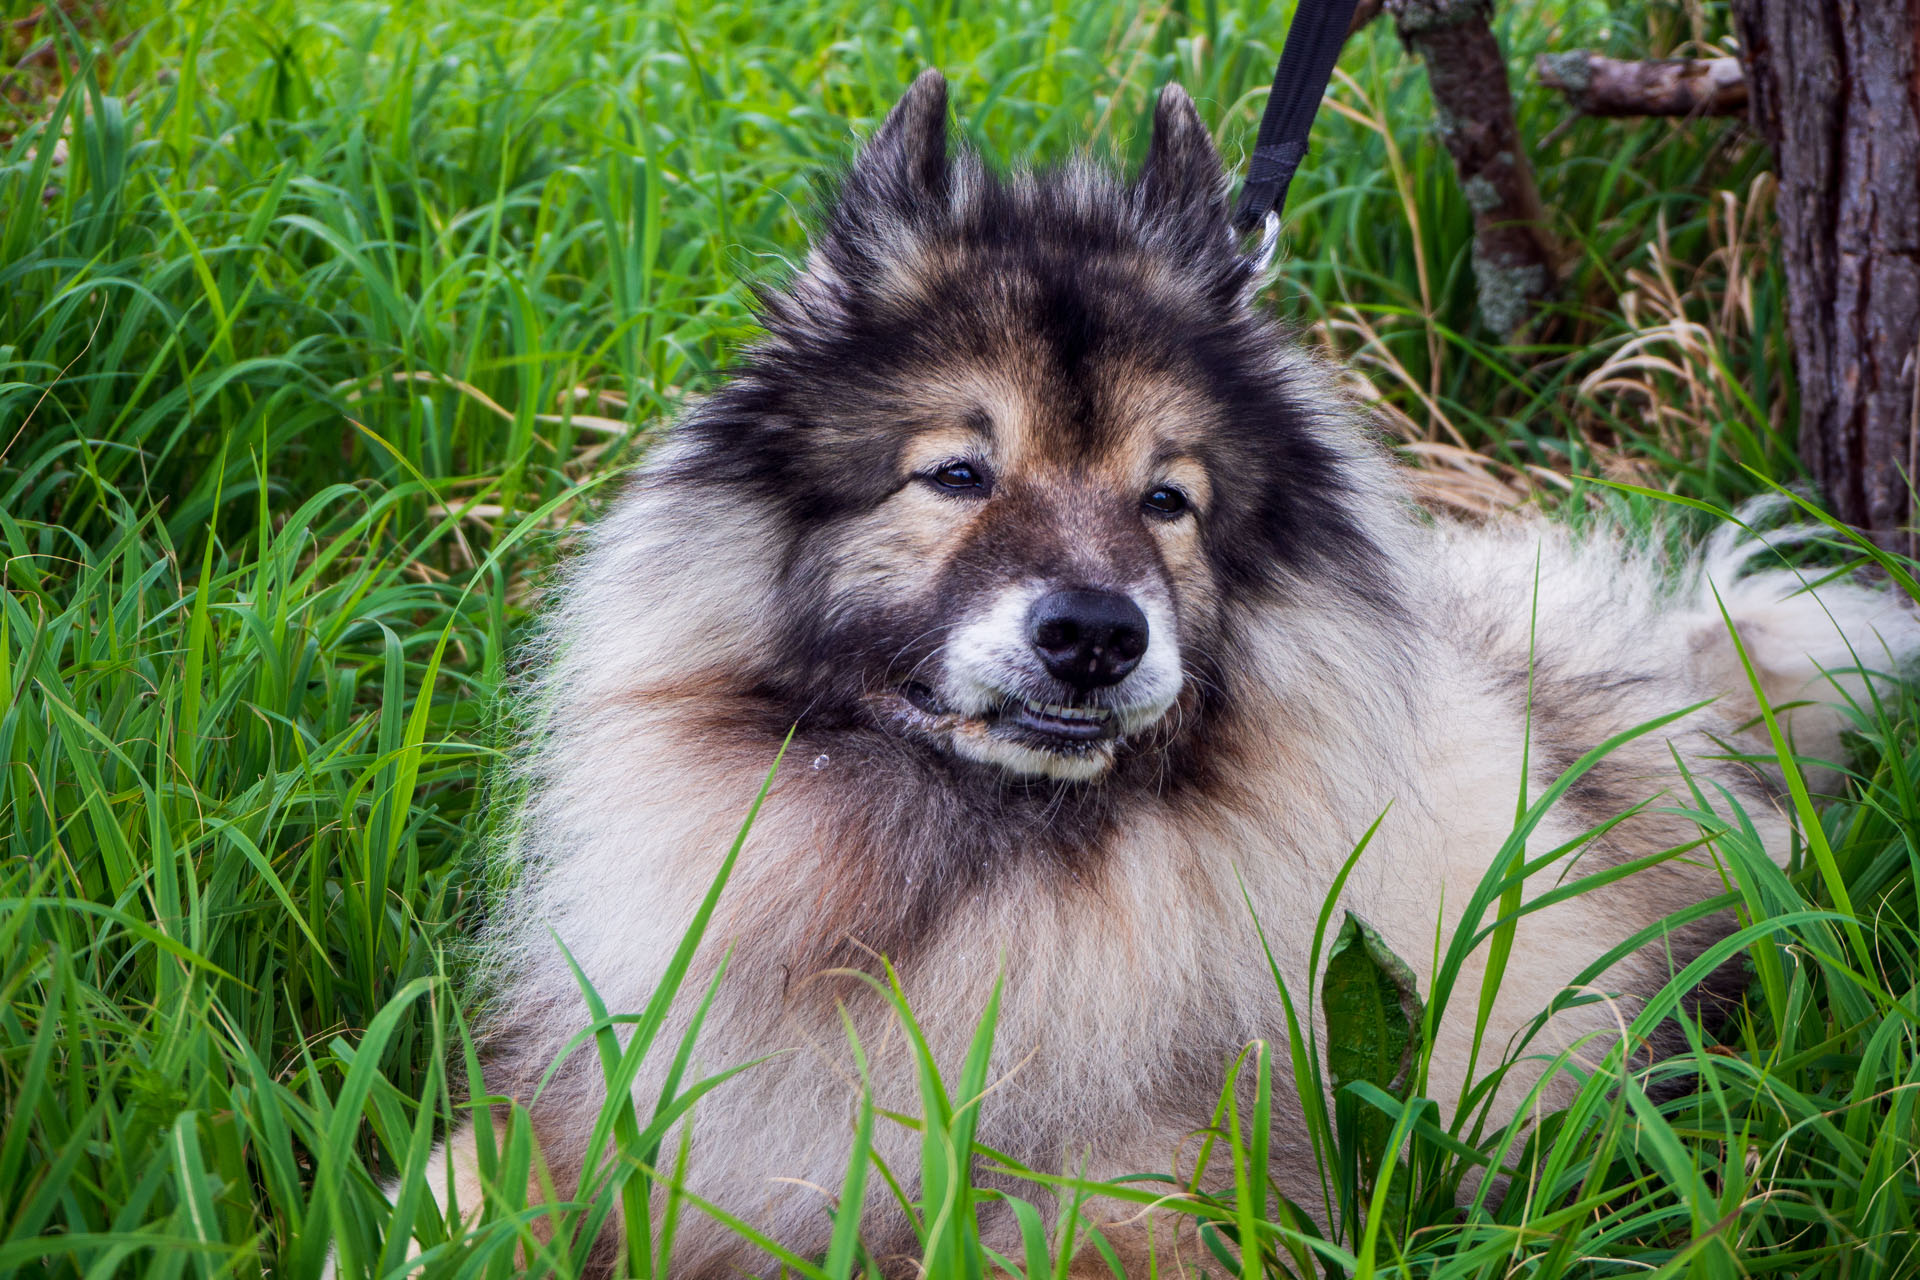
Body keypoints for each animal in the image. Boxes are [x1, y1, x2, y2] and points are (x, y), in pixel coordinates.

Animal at [397, 75, 1912, 1274]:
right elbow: (448, 1199)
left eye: (1168, 501)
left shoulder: (1146, 1199)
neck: (962, 868)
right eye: (958, 474)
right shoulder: (599, 1100)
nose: (1094, 632)